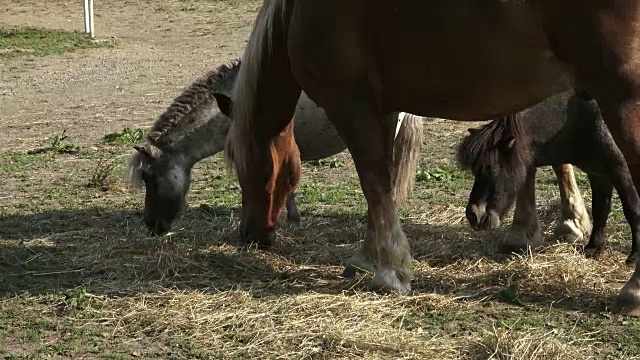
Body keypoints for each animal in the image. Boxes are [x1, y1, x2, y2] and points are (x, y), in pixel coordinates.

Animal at [458, 90, 640, 264]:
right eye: (475, 170)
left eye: (493, 169)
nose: (474, 215)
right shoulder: (598, 175)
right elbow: (600, 210)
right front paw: (593, 248)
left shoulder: (621, 172)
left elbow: (632, 210)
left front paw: (634, 256)